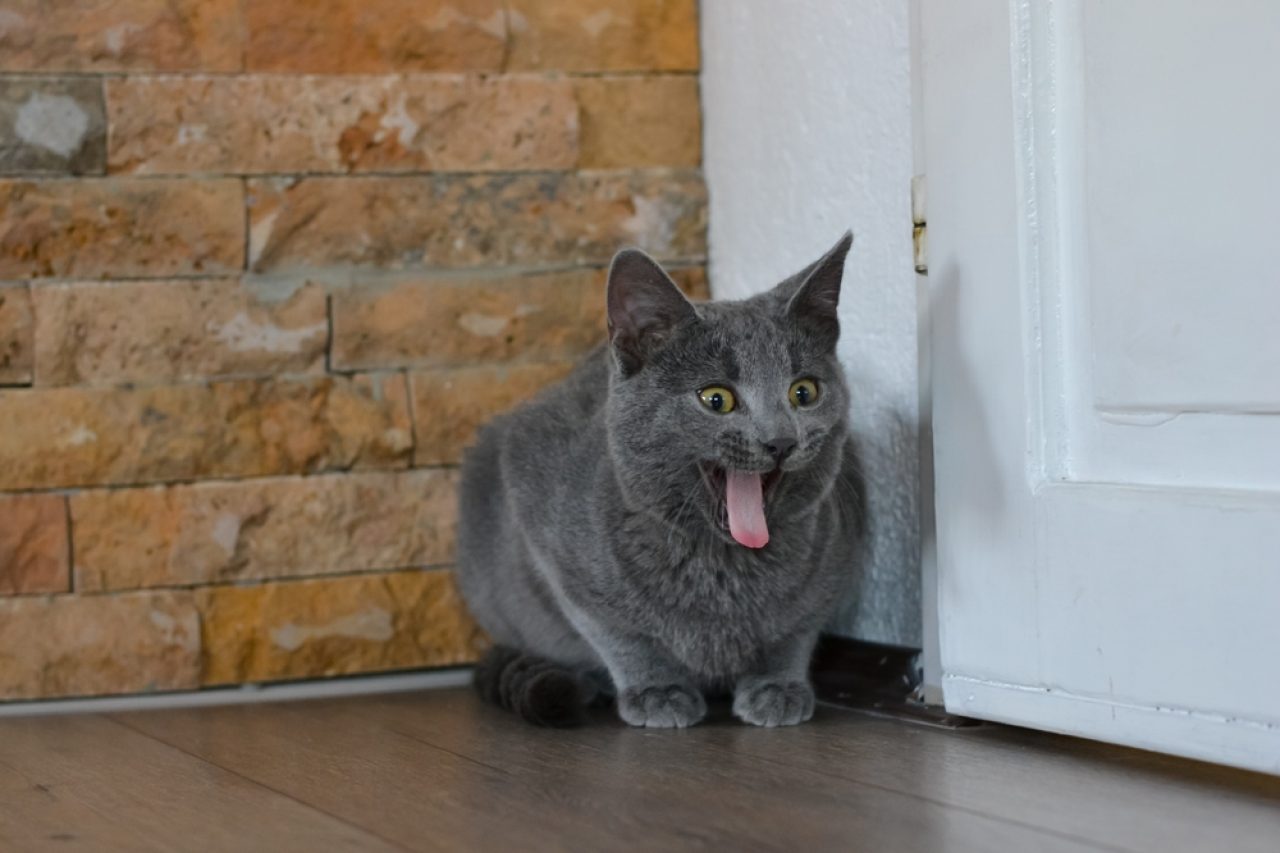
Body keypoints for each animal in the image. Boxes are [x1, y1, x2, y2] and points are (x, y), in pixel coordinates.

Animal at [455, 233, 865, 722]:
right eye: (716, 399)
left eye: (804, 392)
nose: (781, 440)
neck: (721, 569)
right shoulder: (553, 546)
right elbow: (618, 633)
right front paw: (658, 691)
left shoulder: (833, 560)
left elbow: (796, 630)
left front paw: (778, 687)